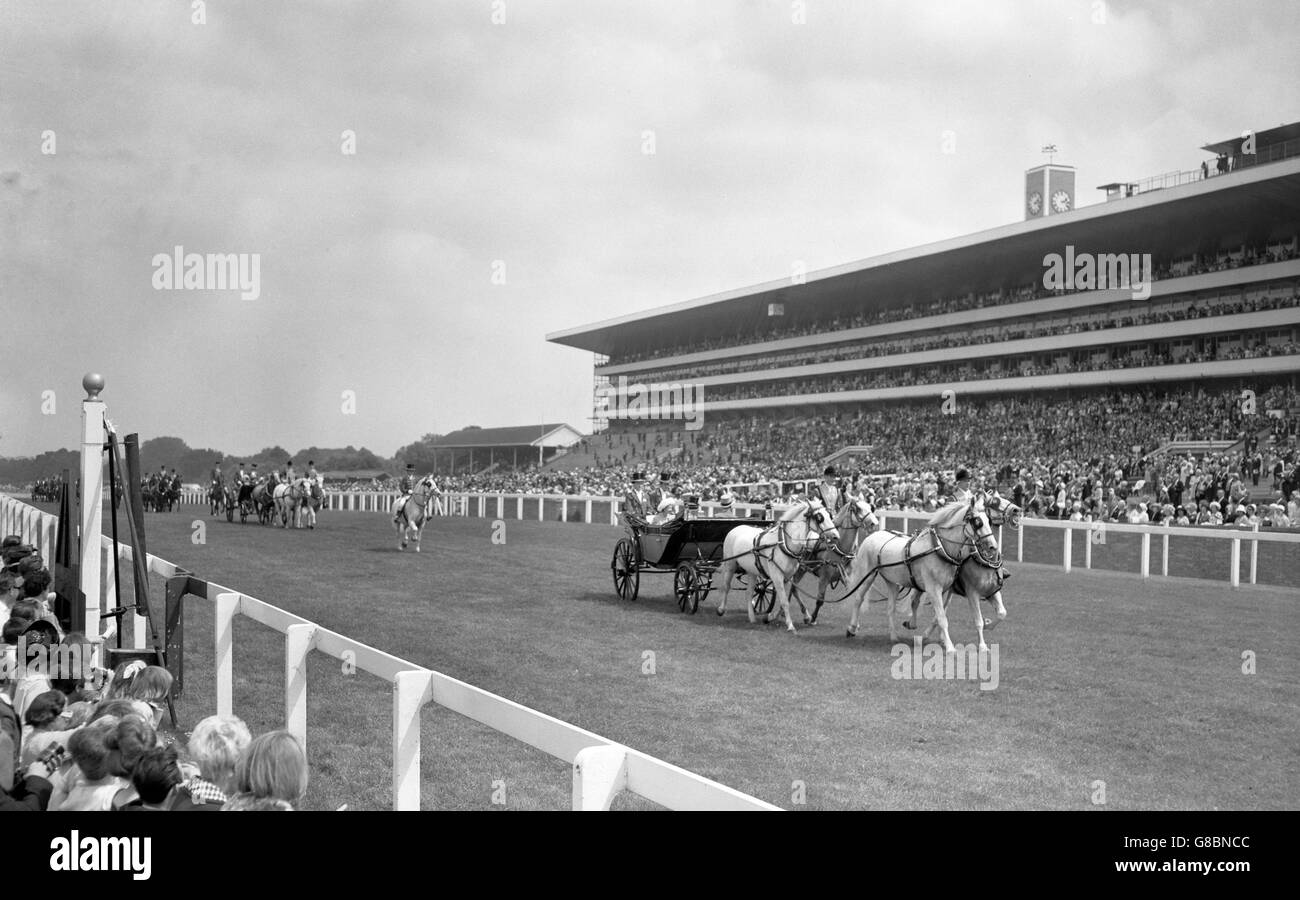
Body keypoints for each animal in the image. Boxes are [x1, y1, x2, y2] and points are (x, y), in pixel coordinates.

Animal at [717, 499, 837, 632]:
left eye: (829, 515)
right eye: (819, 517)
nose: (836, 536)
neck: (783, 544)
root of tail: (737, 527)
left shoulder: (787, 576)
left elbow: (785, 598)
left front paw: (772, 616)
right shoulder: (777, 576)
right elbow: (785, 601)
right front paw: (790, 625)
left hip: (752, 571)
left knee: (749, 592)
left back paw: (752, 617)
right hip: (730, 564)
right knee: (726, 586)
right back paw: (721, 609)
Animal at [837, 491, 998, 652]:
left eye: (989, 521)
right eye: (977, 522)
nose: (993, 546)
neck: (940, 548)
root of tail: (873, 535)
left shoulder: (946, 589)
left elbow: (937, 615)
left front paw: (938, 638)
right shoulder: (933, 589)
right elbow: (941, 618)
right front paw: (950, 647)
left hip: (892, 582)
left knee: (890, 608)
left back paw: (894, 637)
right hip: (867, 575)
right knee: (858, 599)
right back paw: (851, 628)